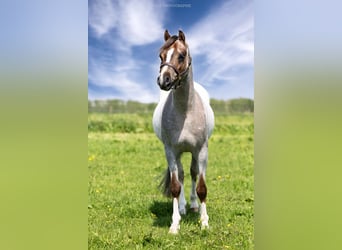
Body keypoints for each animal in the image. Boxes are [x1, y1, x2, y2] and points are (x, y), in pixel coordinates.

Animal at [152, 29, 214, 234]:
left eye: (181, 55)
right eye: (161, 56)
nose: (164, 80)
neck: (185, 112)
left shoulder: (201, 150)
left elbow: (201, 186)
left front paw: (204, 222)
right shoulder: (171, 151)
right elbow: (175, 186)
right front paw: (174, 224)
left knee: (193, 174)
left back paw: (194, 206)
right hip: (178, 153)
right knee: (181, 175)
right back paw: (182, 207)